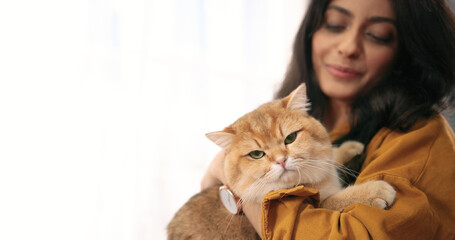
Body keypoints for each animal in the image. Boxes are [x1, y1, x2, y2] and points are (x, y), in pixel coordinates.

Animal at [167, 83, 396, 239]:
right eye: (256, 154)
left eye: (290, 138)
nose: (281, 160)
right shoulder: (317, 204)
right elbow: (332, 201)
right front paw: (372, 192)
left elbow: (329, 156)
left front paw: (347, 148)